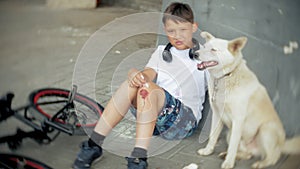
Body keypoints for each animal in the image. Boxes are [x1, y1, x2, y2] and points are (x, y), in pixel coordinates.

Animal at [196, 31, 298, 169]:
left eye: (213, 50)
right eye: (205, 47)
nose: (194, 53)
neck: (227, 76)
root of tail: (282, 144)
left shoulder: (238, 119)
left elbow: (233, 146)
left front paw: (229, 163)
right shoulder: (217, 115)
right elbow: (213, 136)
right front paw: (208, 151)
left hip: (265, 130)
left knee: (273, 156)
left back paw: (261, 163)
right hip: (229, 133)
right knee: (248, 154)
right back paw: (230, 154)